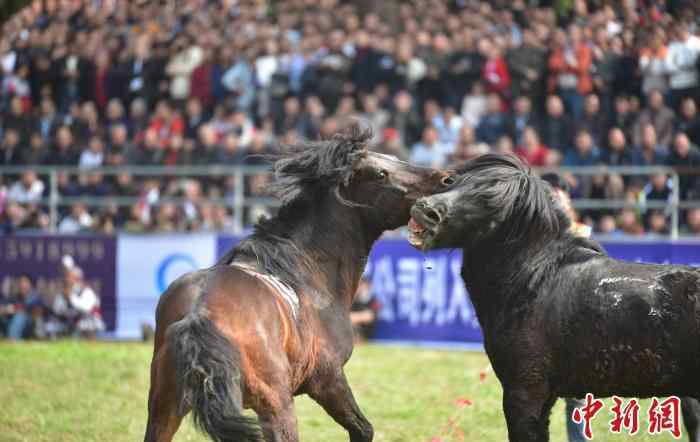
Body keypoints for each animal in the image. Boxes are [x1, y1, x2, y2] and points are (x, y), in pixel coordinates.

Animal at [145, 126, 456, 442]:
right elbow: (363, 428)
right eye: (381, 173)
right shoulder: (327, 380)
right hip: (276, 405)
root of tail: (199, 313)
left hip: (164, 407)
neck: (306, 269)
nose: (447, 180)